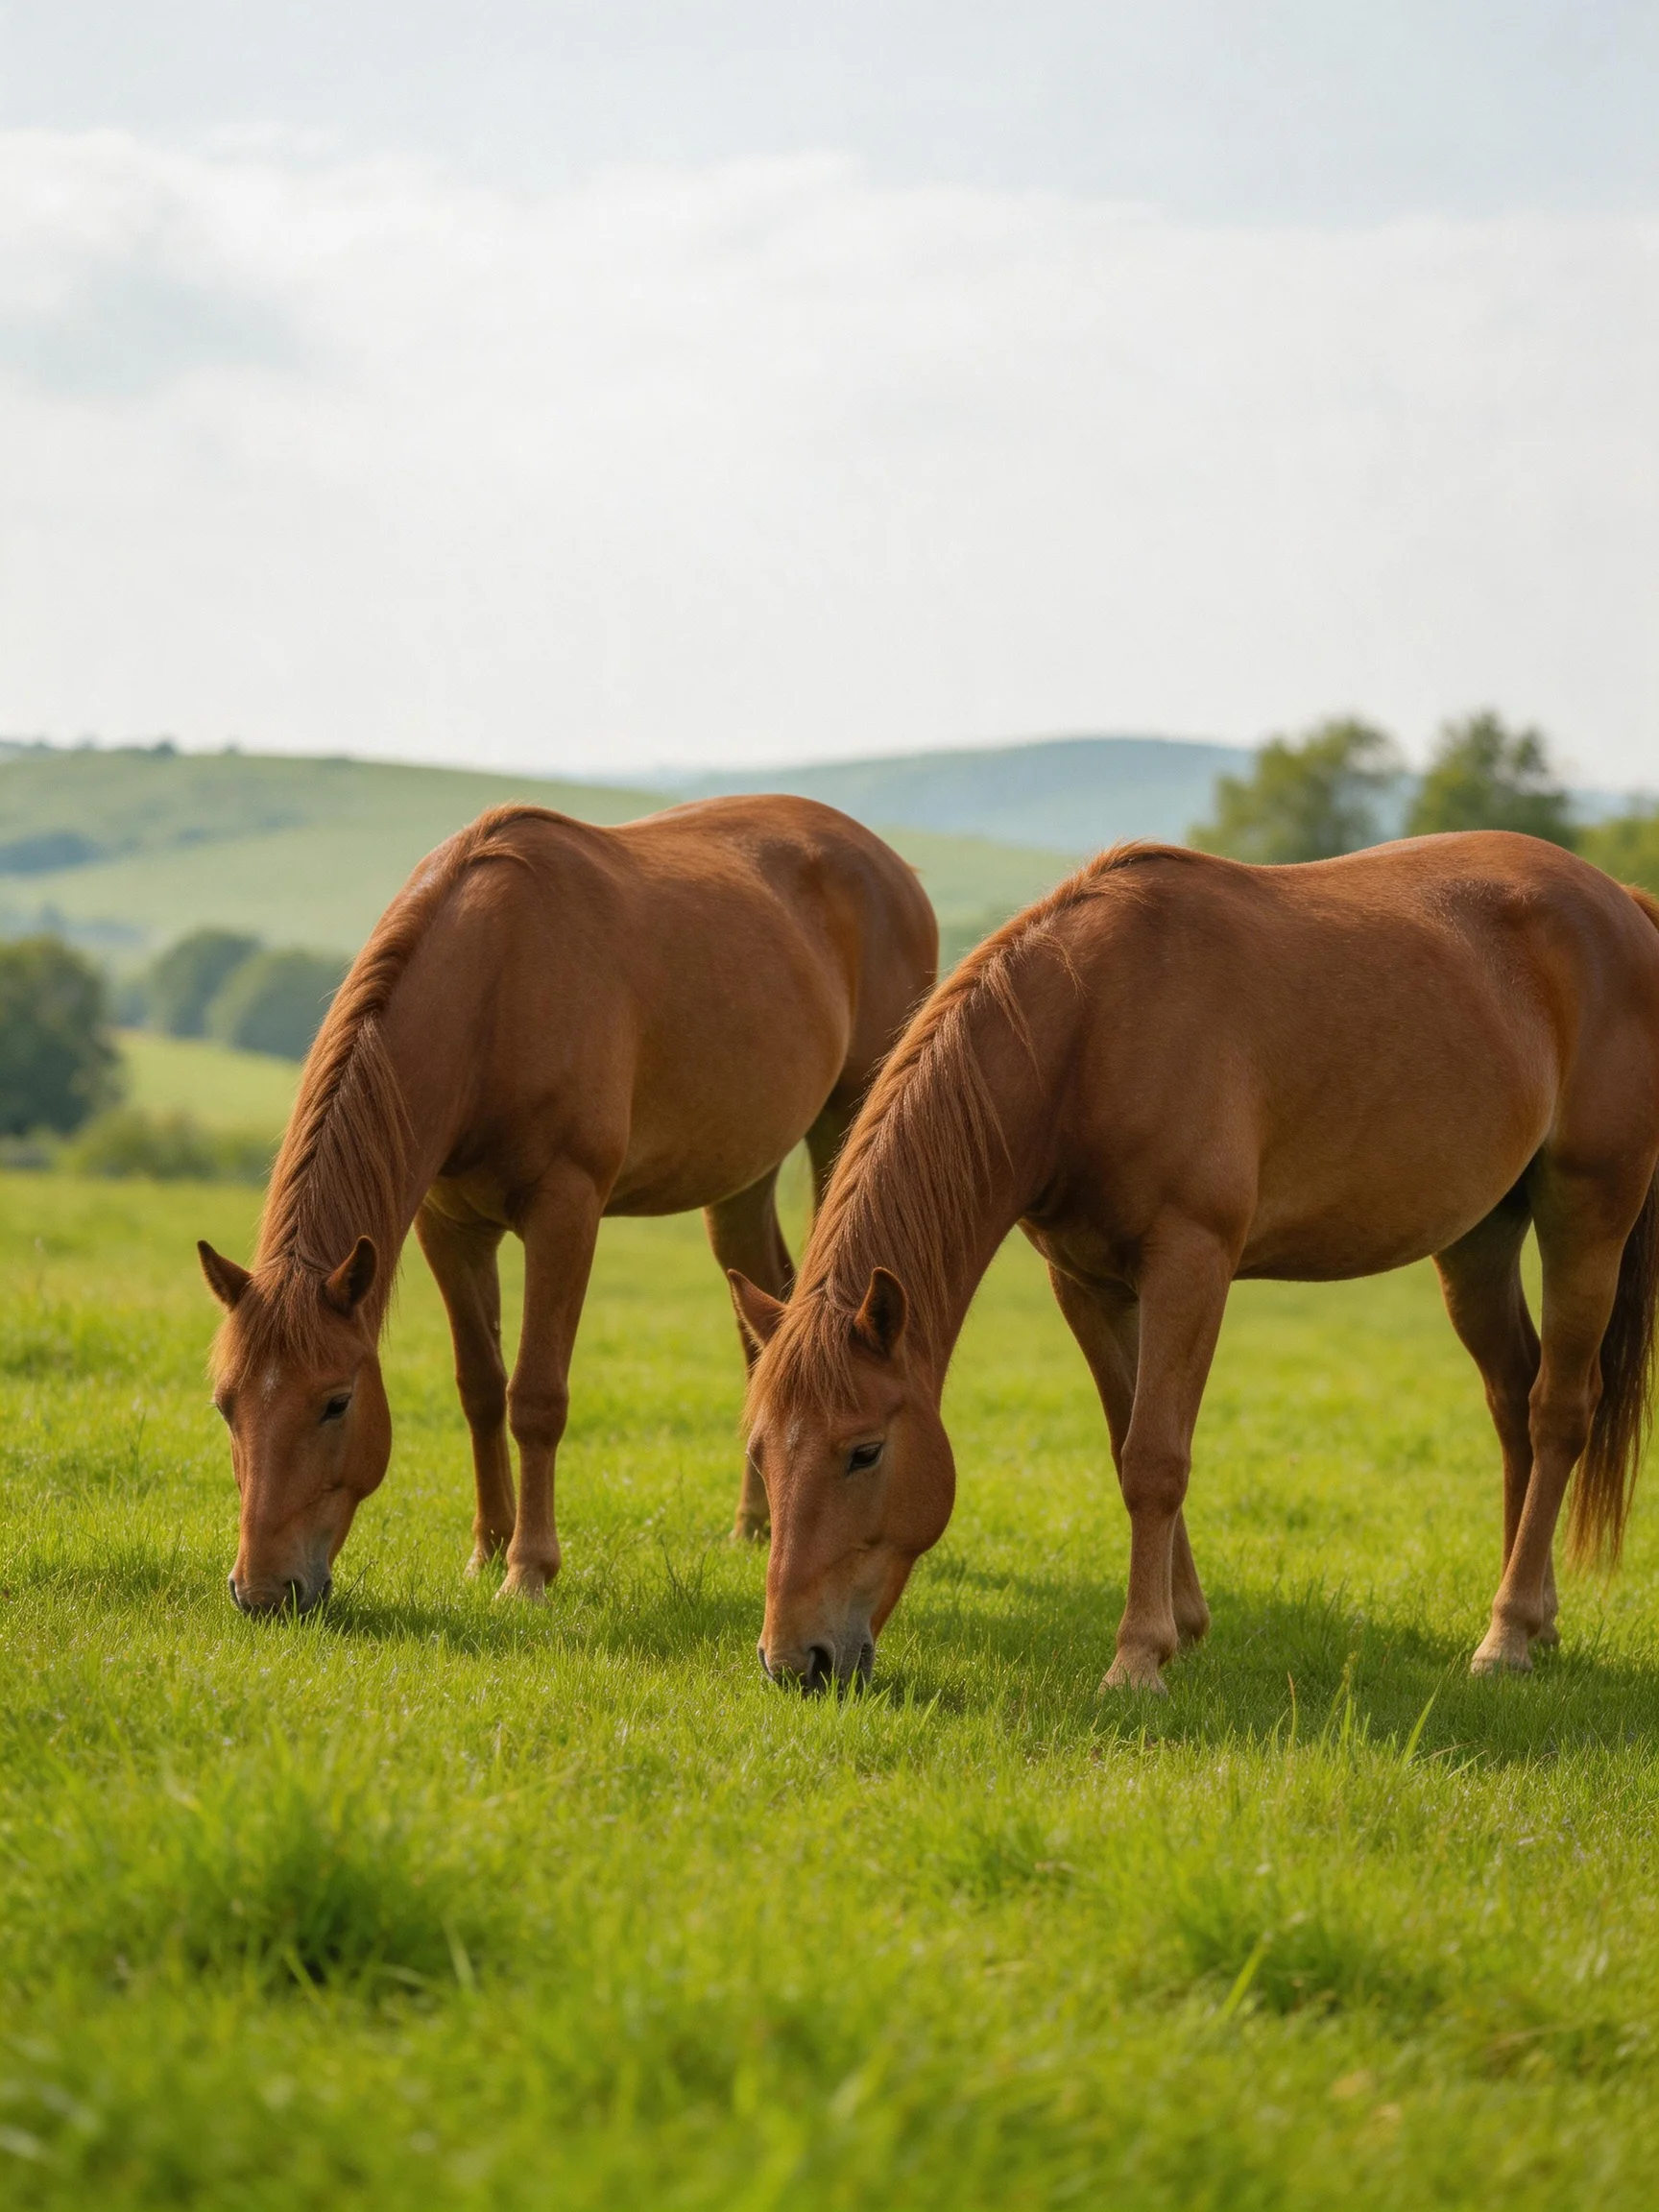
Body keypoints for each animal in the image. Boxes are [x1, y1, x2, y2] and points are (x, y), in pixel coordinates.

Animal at [198, 797, 936, 1614]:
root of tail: (892, 868)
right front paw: (486, 1549)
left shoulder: (564, 1212)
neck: (494, 983)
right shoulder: (448, 1225)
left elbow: (536, 1397)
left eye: (334, 1402)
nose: (263, 1591)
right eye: (225, 1404)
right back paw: (756, 1524)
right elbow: (481, 1387)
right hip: (741, 1178)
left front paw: (528, 1571)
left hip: (844, 1126)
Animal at [732, 833, 1659, 1694]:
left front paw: (1138, 1657)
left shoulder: (1190, 1263)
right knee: (1512, 1402)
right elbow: (1126, 1440)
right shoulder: (1087, 1283)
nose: (793, 1661)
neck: (1089, 1031)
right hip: (1480, 1238)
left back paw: (1508, 1633)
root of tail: (1622, 902)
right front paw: (1183, 1622)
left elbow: (1155, 1459)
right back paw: (1539, 1623)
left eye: (864, 1452)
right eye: (761, 1451)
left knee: (1557, 1411)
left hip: (1587, 1214)